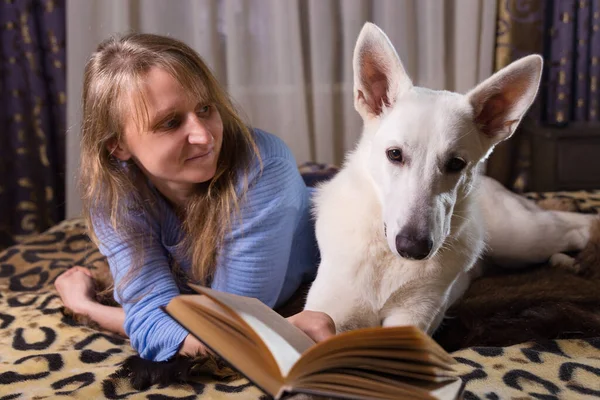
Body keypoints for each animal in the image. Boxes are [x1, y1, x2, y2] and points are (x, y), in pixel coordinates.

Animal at [304, 21, 596, 334]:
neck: (387, 257)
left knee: (579, 225)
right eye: (394, 154)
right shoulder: (329, 311)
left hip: (522, 238)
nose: (413, 249)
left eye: (456, 164)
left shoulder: (412, 317)